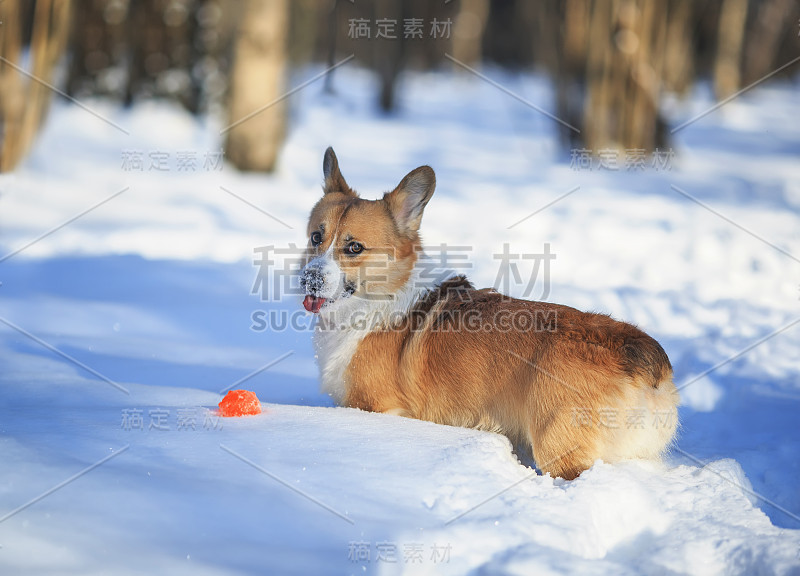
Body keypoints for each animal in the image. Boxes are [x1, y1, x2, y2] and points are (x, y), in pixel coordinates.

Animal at [304, 147, 680, 476]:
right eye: (316, 238)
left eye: (354, 248)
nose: (309, 278)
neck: (379, 300)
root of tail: (642, 355)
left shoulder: (379, 406)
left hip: (558, 450)